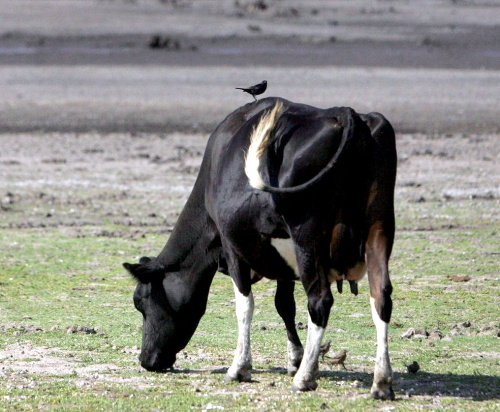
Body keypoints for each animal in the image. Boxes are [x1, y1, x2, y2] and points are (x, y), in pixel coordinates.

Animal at [123, 96, 396, 400]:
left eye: (141, 302)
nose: (146, 360)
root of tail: (347, 114)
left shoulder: (233, 247)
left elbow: (245, 305)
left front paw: (241, 367)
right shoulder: (282, 260)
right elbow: (284, 305)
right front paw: (295, 357)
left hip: (307, 237)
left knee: (320, 301)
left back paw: (305, 378)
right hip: (380, 229)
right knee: (381, 297)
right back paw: (381, 381)